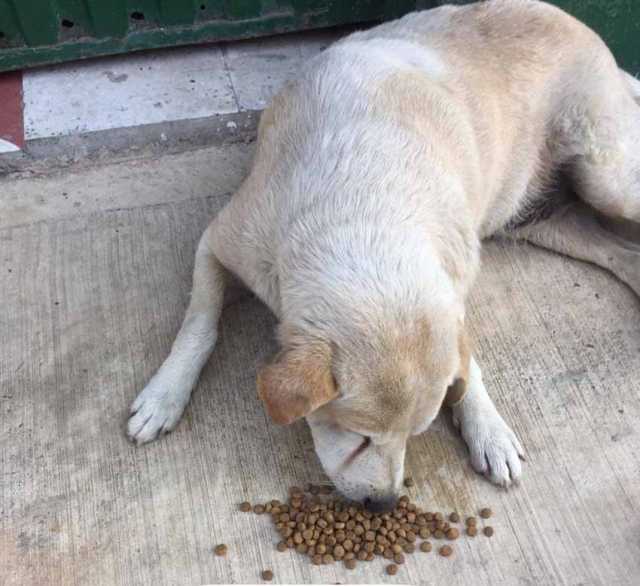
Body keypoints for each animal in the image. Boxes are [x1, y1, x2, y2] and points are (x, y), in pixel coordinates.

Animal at [126, 0, 640, 512]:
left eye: (414, 434)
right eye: (359, 437)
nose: (385, 504)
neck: (362, 207)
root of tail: (593, 38)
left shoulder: (452, 292)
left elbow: (467, 362)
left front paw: (486, 426)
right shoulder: (218, 242)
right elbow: (198, 326)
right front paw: (163, 395)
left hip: (606, 180)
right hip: (543, 219)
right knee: (623, 252)